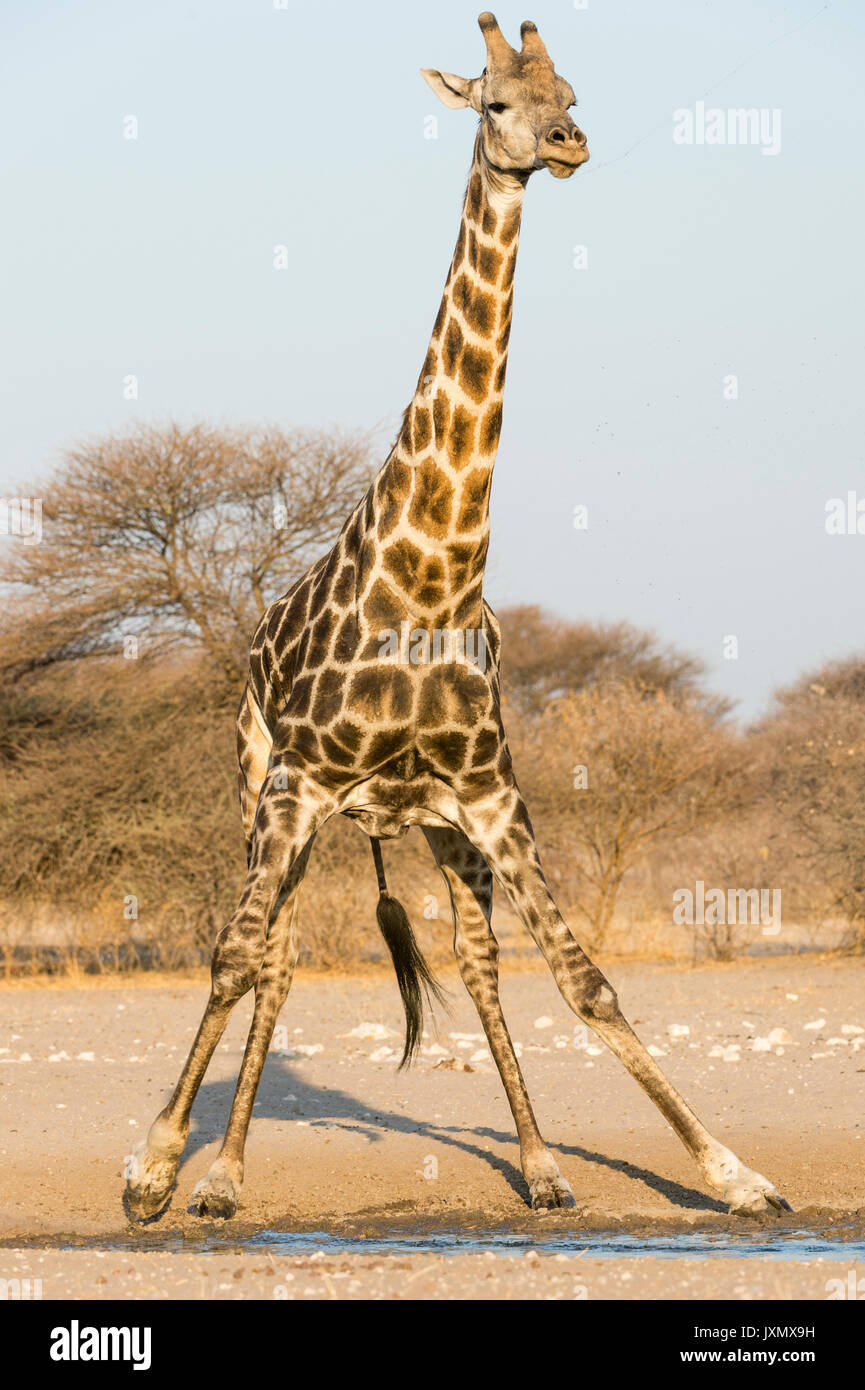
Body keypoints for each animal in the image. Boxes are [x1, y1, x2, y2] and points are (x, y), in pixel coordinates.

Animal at [123, 16, 795, 1223]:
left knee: (474, 957)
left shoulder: (492, 792)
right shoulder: (296, 785)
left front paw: (734, 1174)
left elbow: (584, 978)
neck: (432, 576)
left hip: (431, 824)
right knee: (274, 953)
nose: (566, 146)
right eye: (494, 103)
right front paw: (153, 1169)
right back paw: (222, 1176)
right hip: (262, 789)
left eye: (572, 94)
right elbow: (236, 958)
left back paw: (537, 1167)